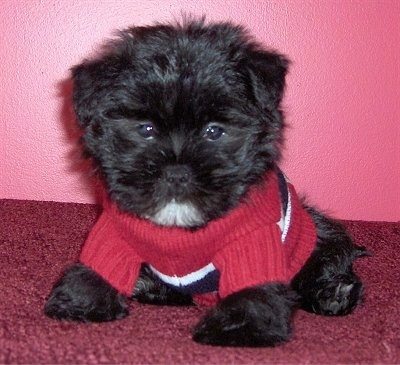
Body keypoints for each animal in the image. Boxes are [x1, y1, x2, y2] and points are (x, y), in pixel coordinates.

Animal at [44, 19, 368, 344]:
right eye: (146, 129)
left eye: (214, 131)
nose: (176, 172)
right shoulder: (114, 231)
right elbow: (99, 263)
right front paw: (82, 300)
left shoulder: (253, 239)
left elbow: (253, 284)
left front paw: (242, 326)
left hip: (316, 233)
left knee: (328, 258)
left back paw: (333, 293)